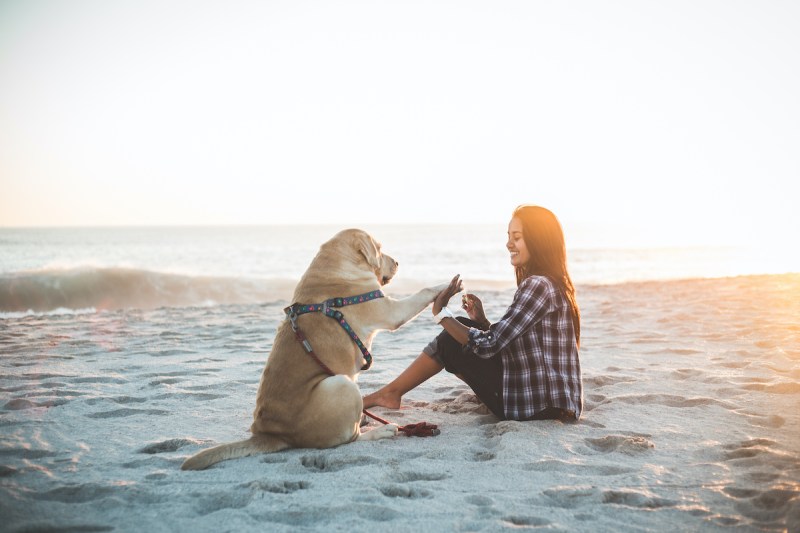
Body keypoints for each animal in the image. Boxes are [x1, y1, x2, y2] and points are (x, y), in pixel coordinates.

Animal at [181, 227, 446, 468]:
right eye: (379, 250)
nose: (398, 262)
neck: (336, 265)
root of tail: (271, 434)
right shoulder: (390, 310)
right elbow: (423, 291)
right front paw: (442, 286)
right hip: (343, 385)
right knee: (350, 439)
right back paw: (382, 431)